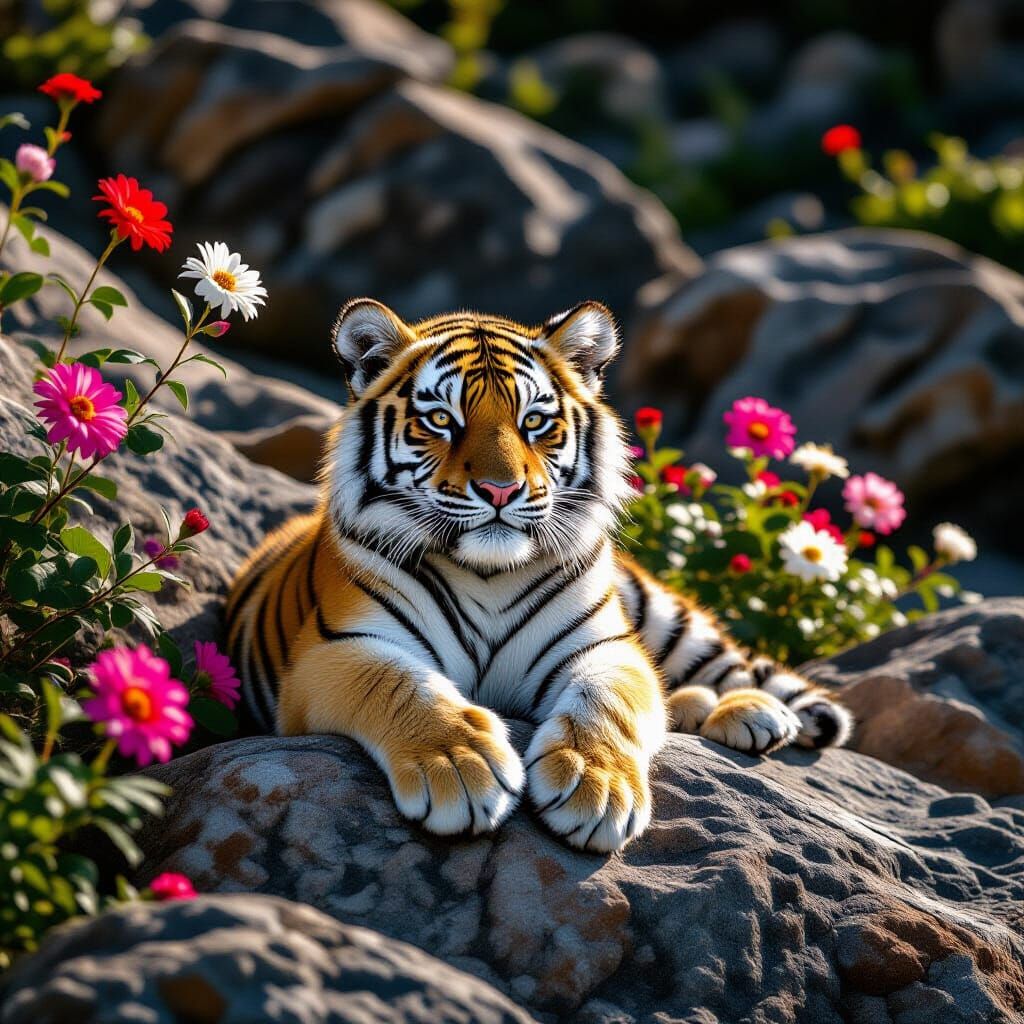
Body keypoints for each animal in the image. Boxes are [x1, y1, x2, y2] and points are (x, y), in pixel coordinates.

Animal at [225, 299, 852, 853]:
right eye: (440, 420)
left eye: (534, 422)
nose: (501, 490)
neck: (487, 575)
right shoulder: (336, 648)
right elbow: (402, 686)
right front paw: (461, 767)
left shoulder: (606, 646)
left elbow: (610, 702)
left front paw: (596, 785)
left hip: (663, 617)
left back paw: (759, 713)